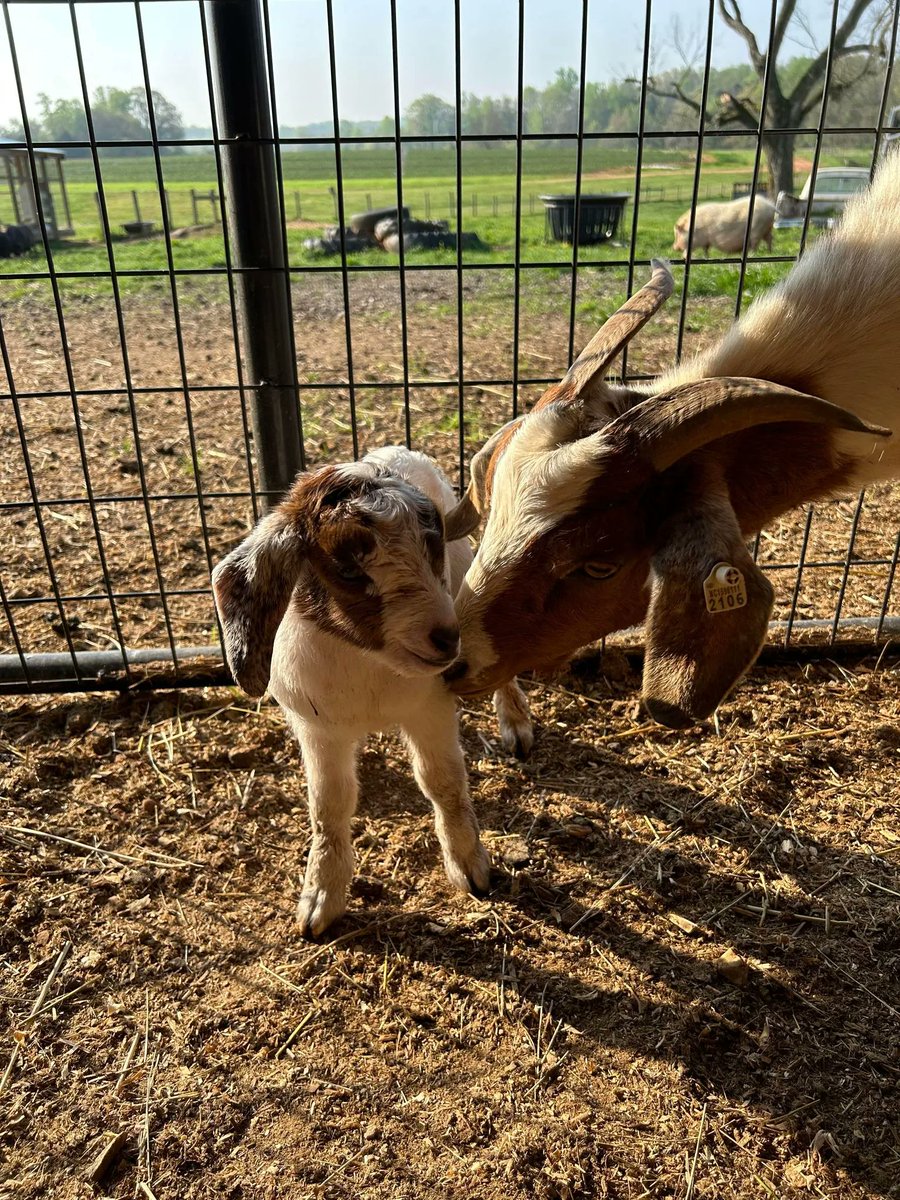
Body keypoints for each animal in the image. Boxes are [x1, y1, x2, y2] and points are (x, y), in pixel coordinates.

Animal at [212, 446, 533, 937]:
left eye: (431, 542)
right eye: (347, 569)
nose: (447, 639)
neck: (370, 663)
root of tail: (396, 450)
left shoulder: (430, 708)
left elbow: (443, 782)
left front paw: (470, 866)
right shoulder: (318, 729)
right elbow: (329, 805)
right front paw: (320, 899)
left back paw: (515, 723)